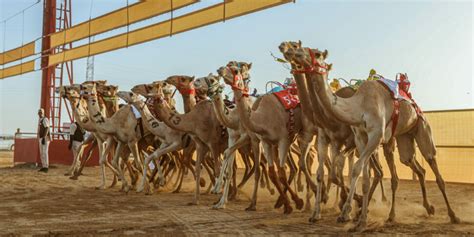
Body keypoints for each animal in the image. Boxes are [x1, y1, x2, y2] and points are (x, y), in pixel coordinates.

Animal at [282, 43, 460, 231]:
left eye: (316, 54)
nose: (292, 51)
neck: (358, 106)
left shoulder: (375, 135)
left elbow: (357, 169)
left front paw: (349, 213)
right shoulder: (360, 138)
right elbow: (362, 176)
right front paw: (357, 218)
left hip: (422, 127)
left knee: (432, 163)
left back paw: (453, 215)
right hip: (404, 138)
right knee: (413, 164)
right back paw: (424, 208)